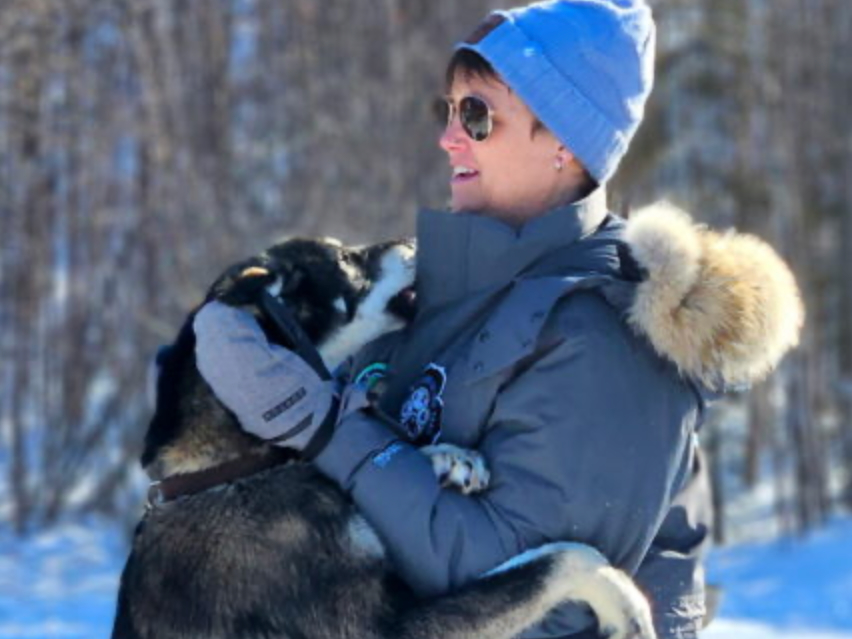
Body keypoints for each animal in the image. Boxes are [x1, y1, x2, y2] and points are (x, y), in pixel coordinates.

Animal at [112, 236, 656, 639]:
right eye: (345, 259)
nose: (413, 240)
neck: (231, 468)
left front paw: (450, 457)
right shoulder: (381, 628)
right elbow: (565, 558)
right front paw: (626, 604)